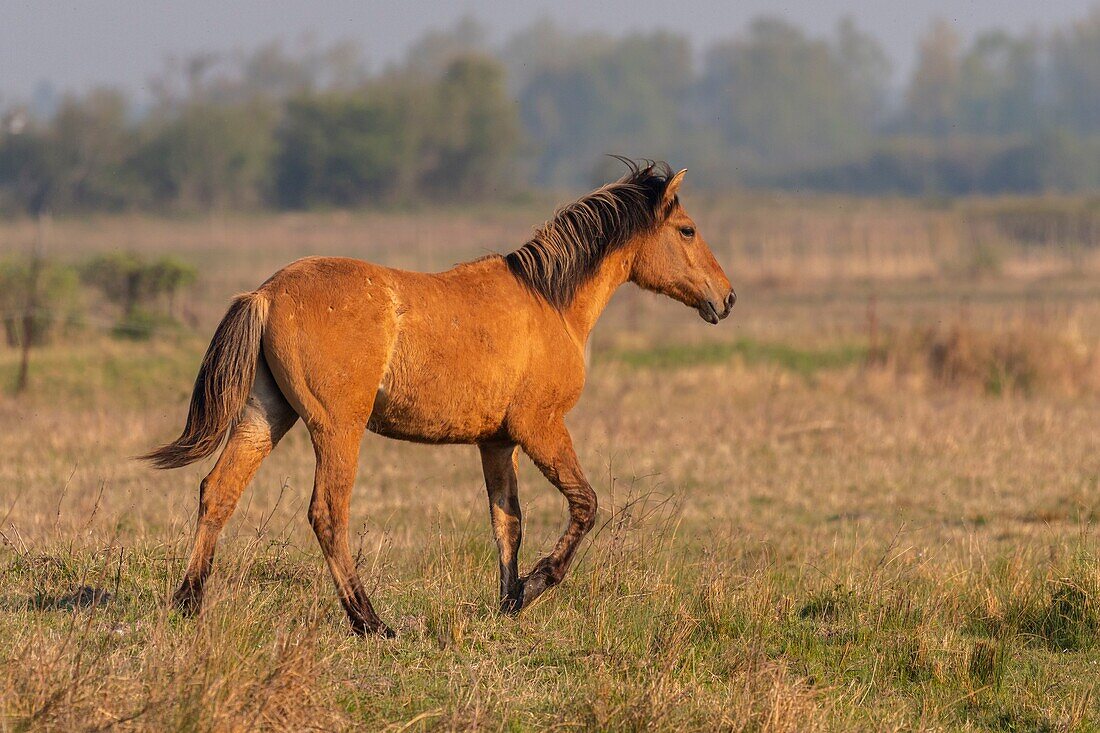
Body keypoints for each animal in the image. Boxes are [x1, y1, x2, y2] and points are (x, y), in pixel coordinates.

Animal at [144, 159, 730, 633]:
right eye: (687, 230)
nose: (726, 298)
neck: (549, 300)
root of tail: (266, 293)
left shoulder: (497, 443)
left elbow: (507, 524)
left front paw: (508, 602)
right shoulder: (540, 428)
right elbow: (584, 505)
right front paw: (536, 585)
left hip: (267, 414)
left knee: (218, 492)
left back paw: (188, 603)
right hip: (337, 428)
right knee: (328, 512)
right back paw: (369, 621)